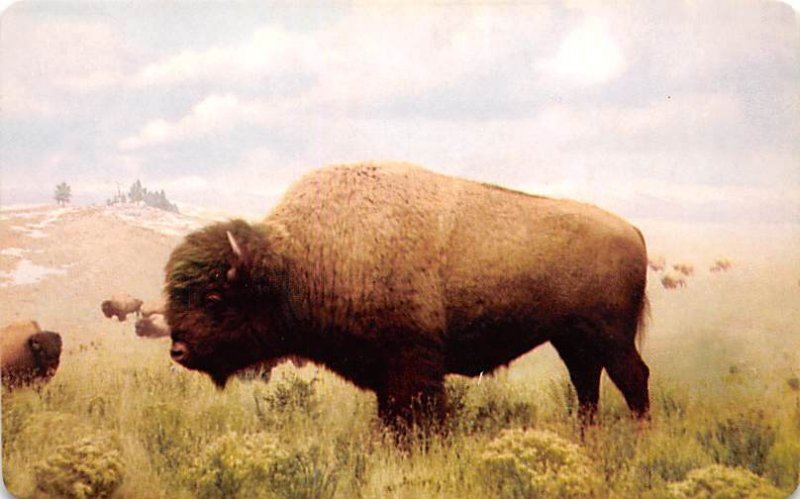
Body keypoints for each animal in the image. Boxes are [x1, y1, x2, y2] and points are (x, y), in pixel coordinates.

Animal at [162, 164, 648, 430]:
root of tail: (633, 230)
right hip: (572, 341)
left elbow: (416, 419)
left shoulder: (412, 366)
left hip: (611, 338)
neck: (298, 260)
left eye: (213, 296)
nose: (178, 350)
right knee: (587, 386)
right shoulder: (385, 372)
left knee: (632, 379)